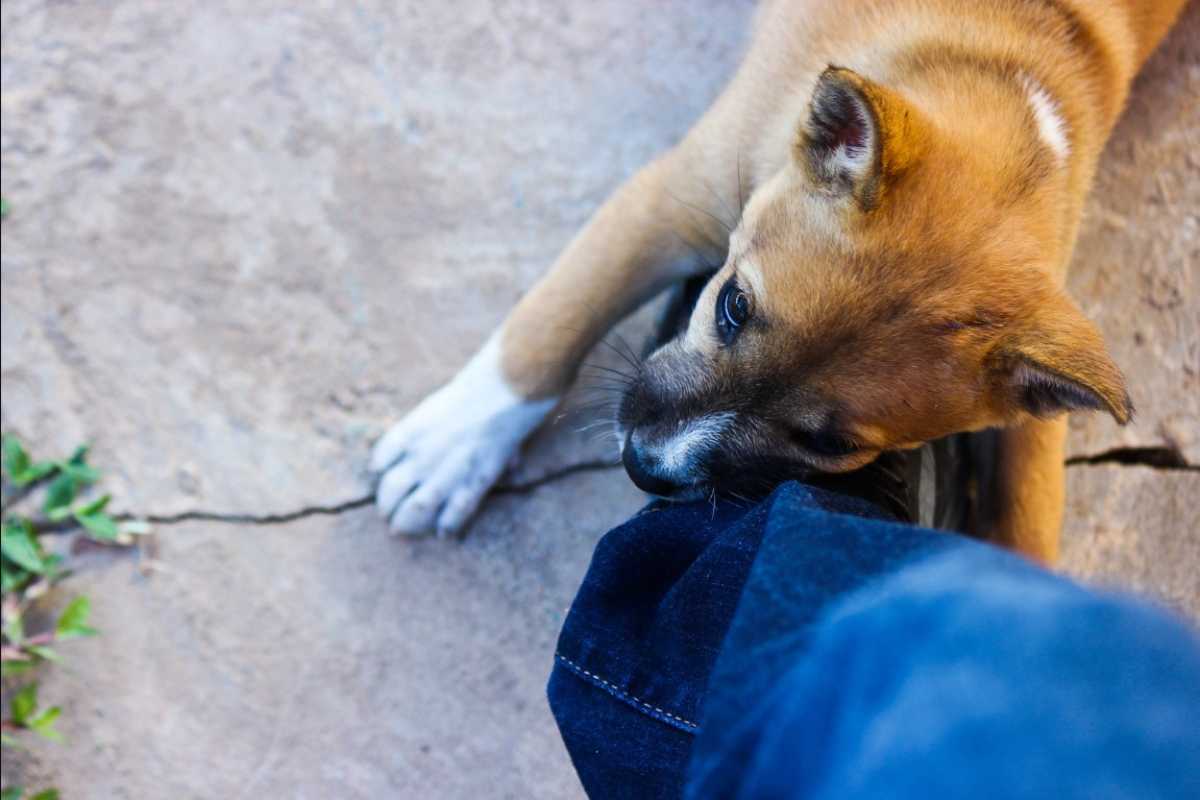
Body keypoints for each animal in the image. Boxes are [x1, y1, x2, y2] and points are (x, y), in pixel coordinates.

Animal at [369, 0, 1185, 563]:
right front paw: (447, 450)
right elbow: (551, 323)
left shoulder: (1035, 406)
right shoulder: (668, 200)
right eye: (732, 305)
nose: (644, 466)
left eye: (827, 443)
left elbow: (1029, 520)